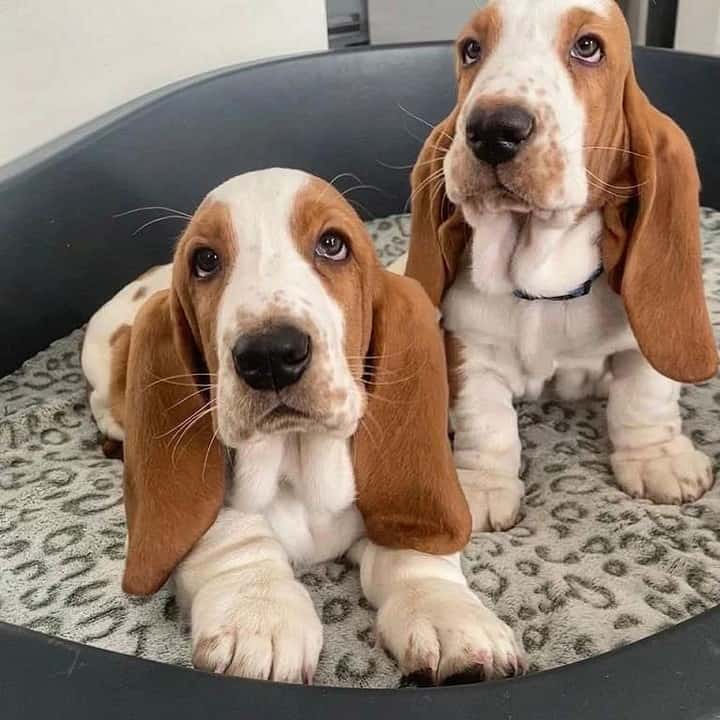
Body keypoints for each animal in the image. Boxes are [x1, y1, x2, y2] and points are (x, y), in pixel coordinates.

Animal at [81, 170, 524, 688]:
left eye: (332, 244)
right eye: (205, 260)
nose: (270, 354)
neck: (297, 462)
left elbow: (413, 552)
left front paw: (449, 615)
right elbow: (235, 534)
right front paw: (259, 616)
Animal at [408, 0, 716, 532]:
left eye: (588, 46)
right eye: (471, 49)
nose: (493, 130)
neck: (544, 289)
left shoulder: (639, 342)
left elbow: (646, 393)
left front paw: (658, 458)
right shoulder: (470, 350)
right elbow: (486, 421)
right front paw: (483, 485)